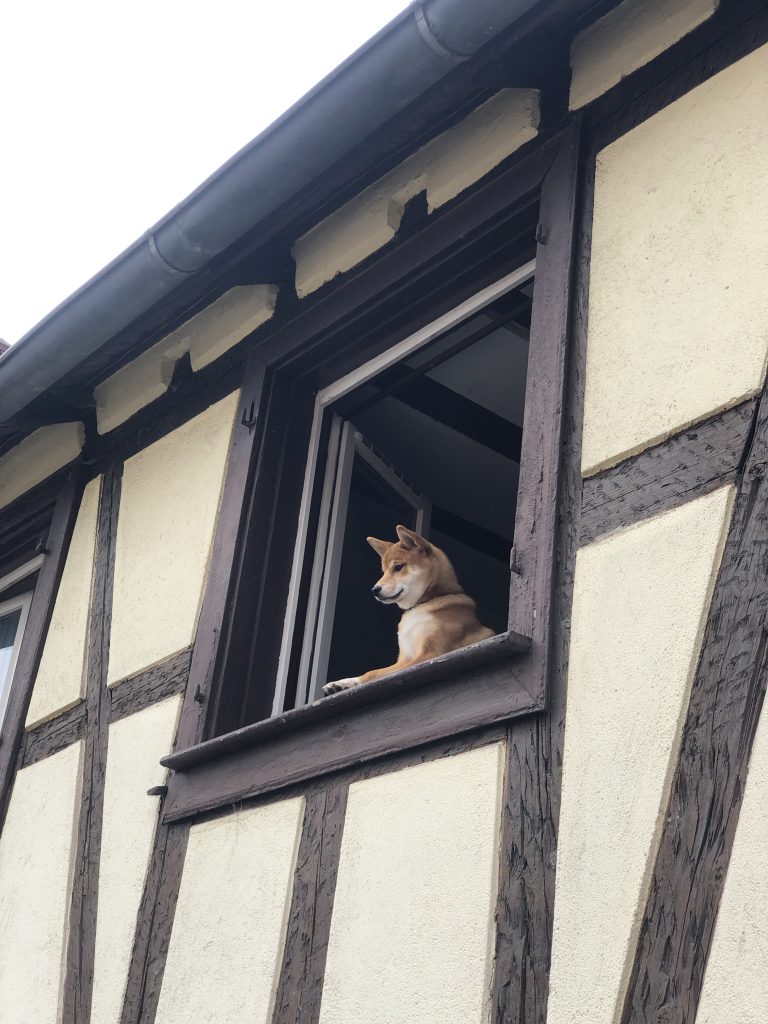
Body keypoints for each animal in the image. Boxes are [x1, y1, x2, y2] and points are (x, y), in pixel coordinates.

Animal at [323, 524, 493, 692]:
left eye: (398, 567)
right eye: (383, 571)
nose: (374, 590)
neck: (423, 603)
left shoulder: (432, 654)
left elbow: (376, 674)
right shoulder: (404, 659)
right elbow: (373, 672)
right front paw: (343, 682)